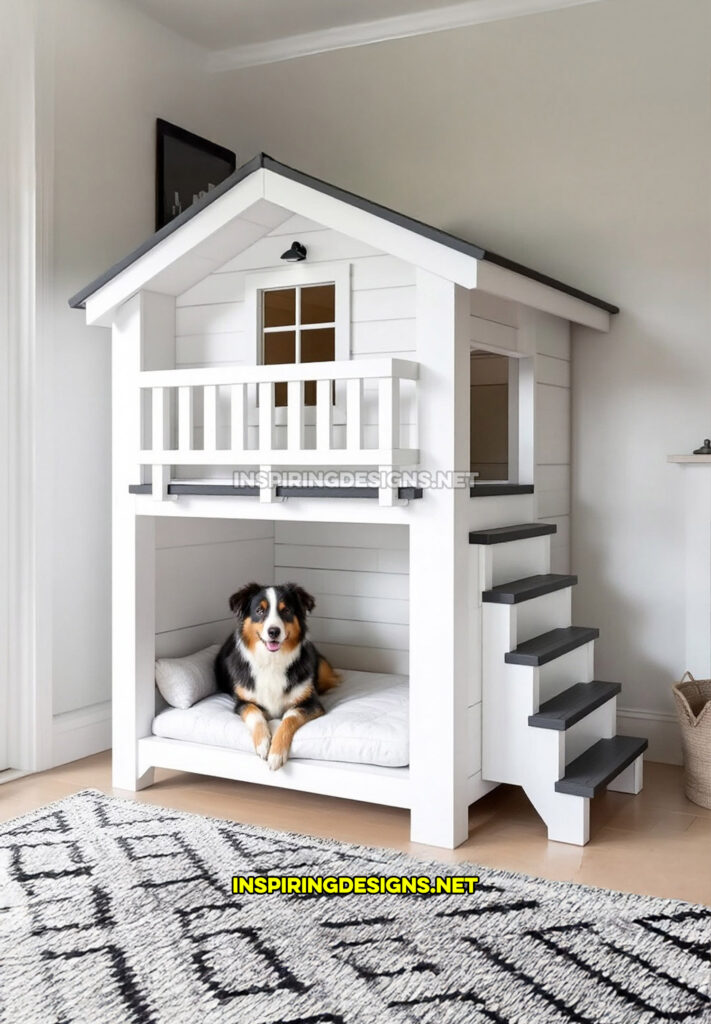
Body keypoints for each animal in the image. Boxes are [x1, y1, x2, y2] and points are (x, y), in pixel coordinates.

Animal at [216, 585, 342, 770]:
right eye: (259, 611)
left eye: (286, 610)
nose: (273, 631)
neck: (272, 660)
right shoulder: (242, 702)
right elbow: (255, 714)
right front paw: (262, 743)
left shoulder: (311, 703)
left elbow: (289, 717)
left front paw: (276, 753)